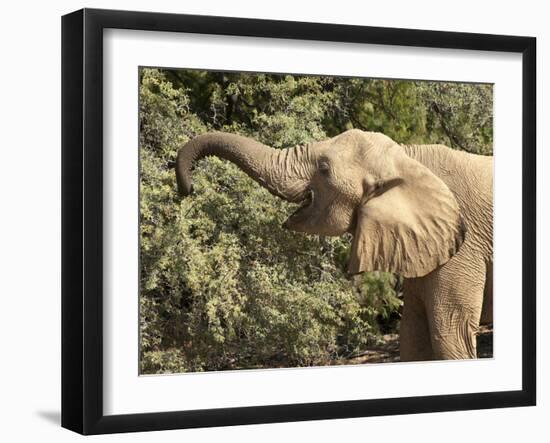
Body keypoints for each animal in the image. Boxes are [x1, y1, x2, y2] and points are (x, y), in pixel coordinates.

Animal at [178, 128, 496, 360]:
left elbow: (449, 334)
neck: (408, 156)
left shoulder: (464, 247)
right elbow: (413, 337)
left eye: (323, 168)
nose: (188, 188)